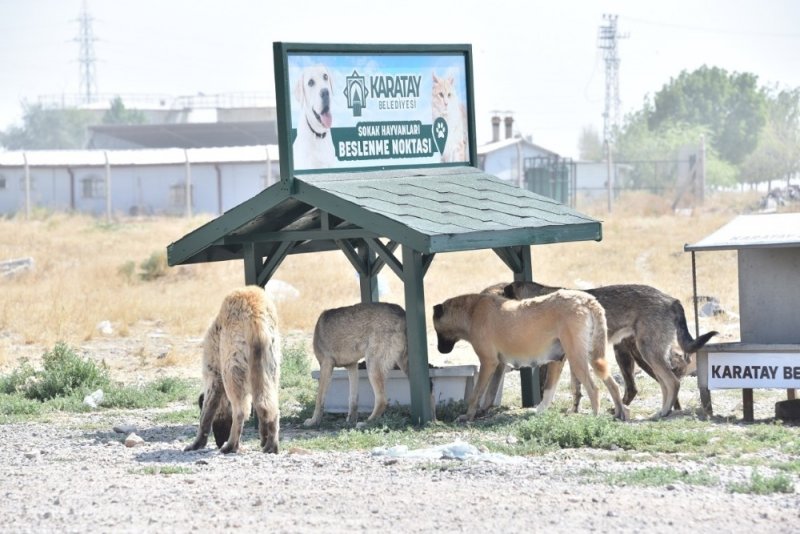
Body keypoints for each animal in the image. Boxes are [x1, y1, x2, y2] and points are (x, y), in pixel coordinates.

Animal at [184, 288, 282, 456]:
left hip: (231, 369)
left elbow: (206, 414)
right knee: (272, 409)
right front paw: (263, 438)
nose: (218, 442)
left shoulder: (214, 375)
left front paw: (197, 444)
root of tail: (255, 315)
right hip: (271, 369)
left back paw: (231, 446)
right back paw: (271, 445)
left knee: (240, 412)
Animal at [434, 292, 628, 426]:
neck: (471, 311)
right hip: (588, 357)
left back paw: (594, 419)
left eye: (436, 331)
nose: (439, 351)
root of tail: (587, 299)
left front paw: (468, 416)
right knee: (613, 385)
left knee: (594, 390)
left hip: (576, 359)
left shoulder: (488, 362)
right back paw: (621, 414)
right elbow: (489, 393)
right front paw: (483, 411)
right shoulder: (498, 365)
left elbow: (476, 394)